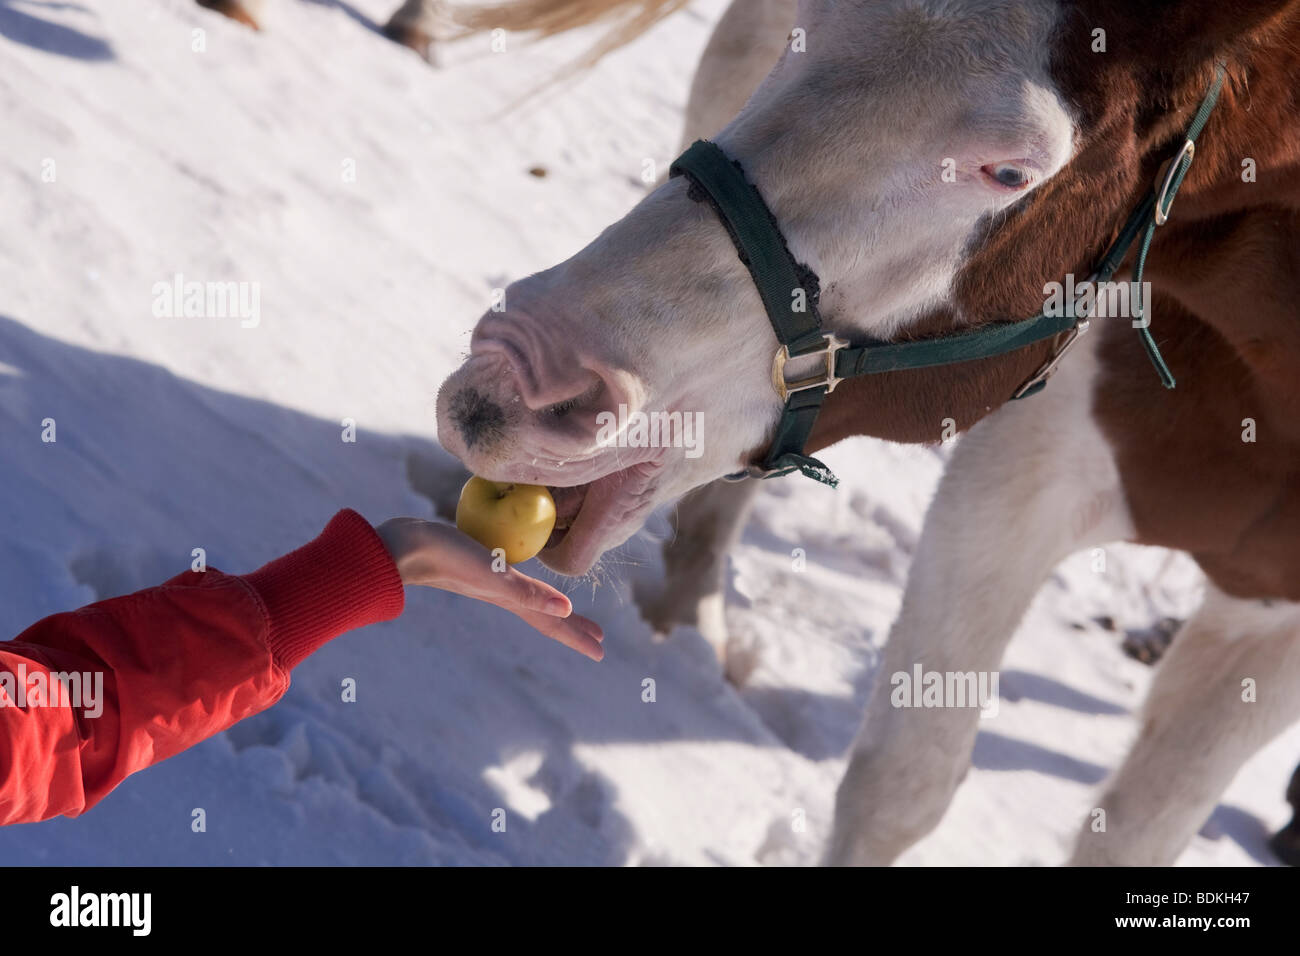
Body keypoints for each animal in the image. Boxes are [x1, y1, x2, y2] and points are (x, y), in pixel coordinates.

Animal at [435, 0, 1300, 865]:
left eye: (1008, 173)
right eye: (807, 28)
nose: (518, 372)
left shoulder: (1269, 623)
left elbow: (1140, 832)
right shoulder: (1024, 478)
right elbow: (902, 786)